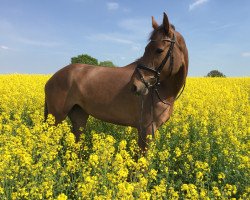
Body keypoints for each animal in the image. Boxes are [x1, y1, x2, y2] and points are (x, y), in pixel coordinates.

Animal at [44, 12, 188, 150]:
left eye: (159, 50)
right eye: (146, 49)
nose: (135, 85)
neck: (161, 91)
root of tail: (52, 78)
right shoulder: (145, 130)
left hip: (79, 116)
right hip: (56, 118)